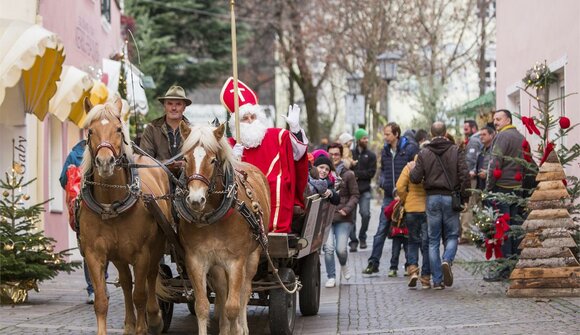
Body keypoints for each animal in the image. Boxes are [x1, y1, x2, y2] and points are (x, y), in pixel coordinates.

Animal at [78, 100, 170, 335]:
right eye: (90, 131)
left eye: (119, 129)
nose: (105, 162)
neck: (112, 205)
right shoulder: (94, 255)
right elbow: (102, 301)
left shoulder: (142, 254)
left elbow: (141, 295)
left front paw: (145, 326)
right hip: (119, 256)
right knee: (127, 283)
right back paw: (129, 324)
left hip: (156, 247)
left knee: (151, 277)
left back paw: (154, 318)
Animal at [174, 124, 270, 335]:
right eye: (185, 159)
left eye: (212, 160)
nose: (195, 200)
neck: (212, 220)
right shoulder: (195, 259)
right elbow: (202, 306)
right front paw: (224, 327)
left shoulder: (236, 261)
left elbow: (233, 306)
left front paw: (237, 329)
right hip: (217, 265)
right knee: (222, 290)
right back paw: (225, 327)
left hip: (253, 255)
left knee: (244, 291)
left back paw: (242, 326)